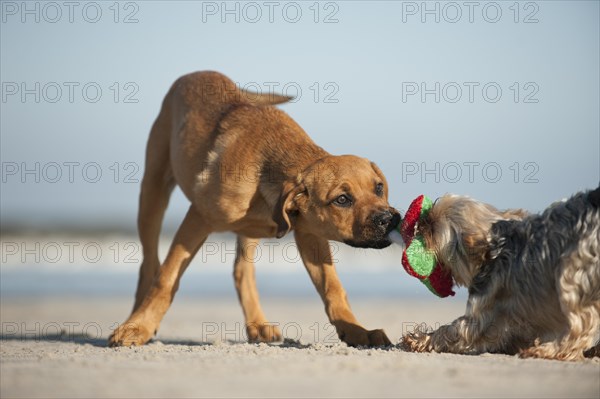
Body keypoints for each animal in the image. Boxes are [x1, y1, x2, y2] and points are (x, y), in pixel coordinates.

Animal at [108, 71, 398, 346]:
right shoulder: (198, 217)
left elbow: (333, 288)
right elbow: (166, 278)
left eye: (378, 188)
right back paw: (136, 319)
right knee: (150, 265)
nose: (390, 219)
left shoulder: (310, 234)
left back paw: (257, 324)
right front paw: (139, 327)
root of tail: (193, 74)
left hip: (248, 232)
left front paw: (357, 330)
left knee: (242, 272)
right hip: (152, 192)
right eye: (342, 200)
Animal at [400, 186, 596, 360]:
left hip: (571, 269)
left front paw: (418, 339)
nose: (420, 223)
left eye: (432, 228)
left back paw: (549, 351)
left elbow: (455, 330)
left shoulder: (485, 306)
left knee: (580, 326)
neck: (495, 248)